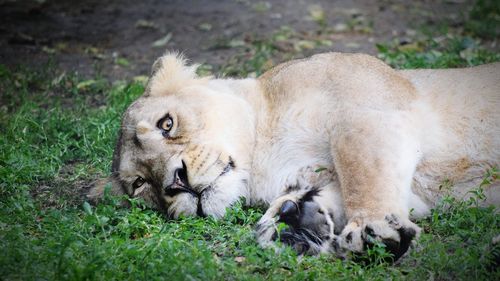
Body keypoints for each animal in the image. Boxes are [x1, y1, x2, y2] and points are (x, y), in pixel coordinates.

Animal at [88, 52, 498, 258]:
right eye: (140, 184)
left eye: (167, 124)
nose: (176, 183)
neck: (266, 159)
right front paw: (298, 220)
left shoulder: (368, 109)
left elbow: (362, 167)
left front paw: (371, 228)